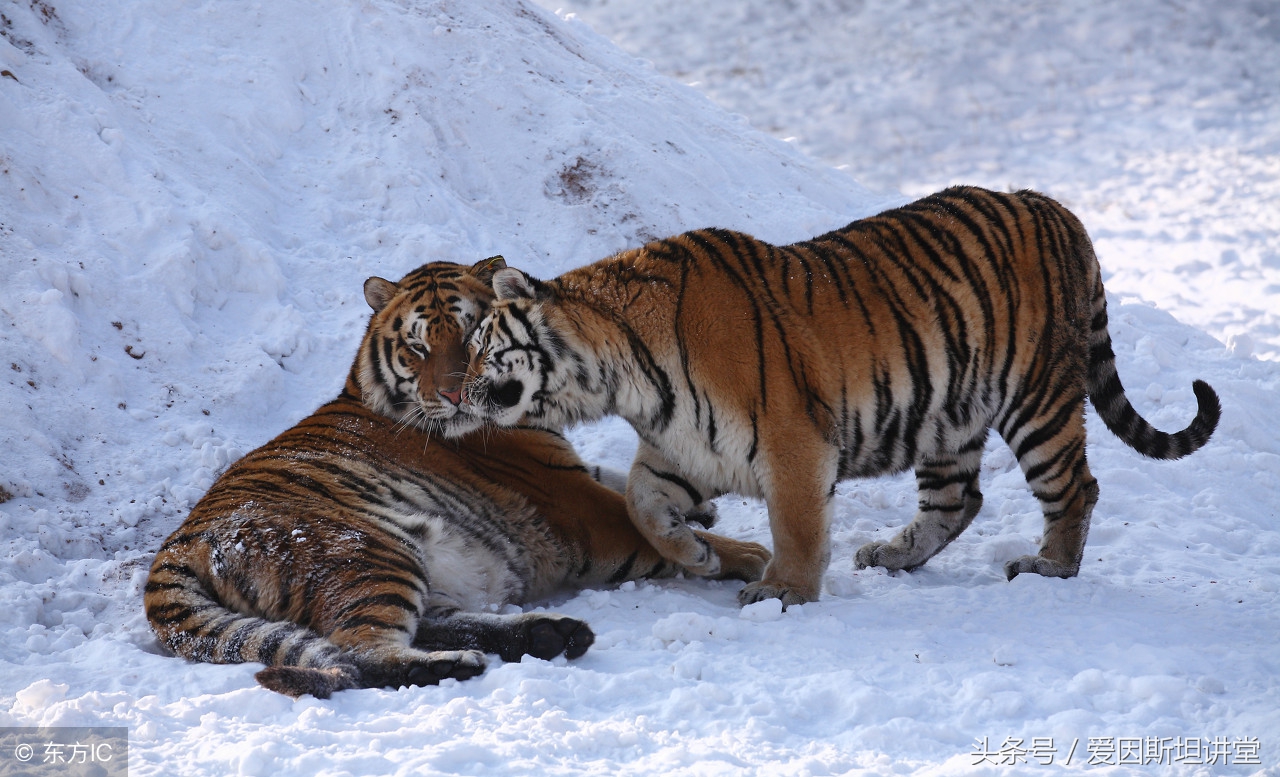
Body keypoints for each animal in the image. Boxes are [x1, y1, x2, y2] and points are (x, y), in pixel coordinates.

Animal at [147, 257, 768, 701]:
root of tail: (177, 548)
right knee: (364, 652)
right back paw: (466, 664)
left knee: (427, 624)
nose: (453, 394)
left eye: (474, 337)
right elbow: (654, 526)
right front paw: (748, 554)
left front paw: (701, 509)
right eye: (418, 346)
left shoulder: (572, 468)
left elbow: (620, 477)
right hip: (370, 549)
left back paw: (549, 634)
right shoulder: (579, 508)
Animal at [460, 186, 1218, 609]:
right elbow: (642, 506)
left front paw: (783, 590)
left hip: (1037, 399)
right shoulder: (683, 446)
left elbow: (795, 526)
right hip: (949, 417)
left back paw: (1049, 565)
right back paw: (892, 555)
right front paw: (697, 554)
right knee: (959, 500)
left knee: (1075, 487)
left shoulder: (793, 441)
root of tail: (1057, 208)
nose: (453, 391)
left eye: (478, 344)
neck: (622, 377)